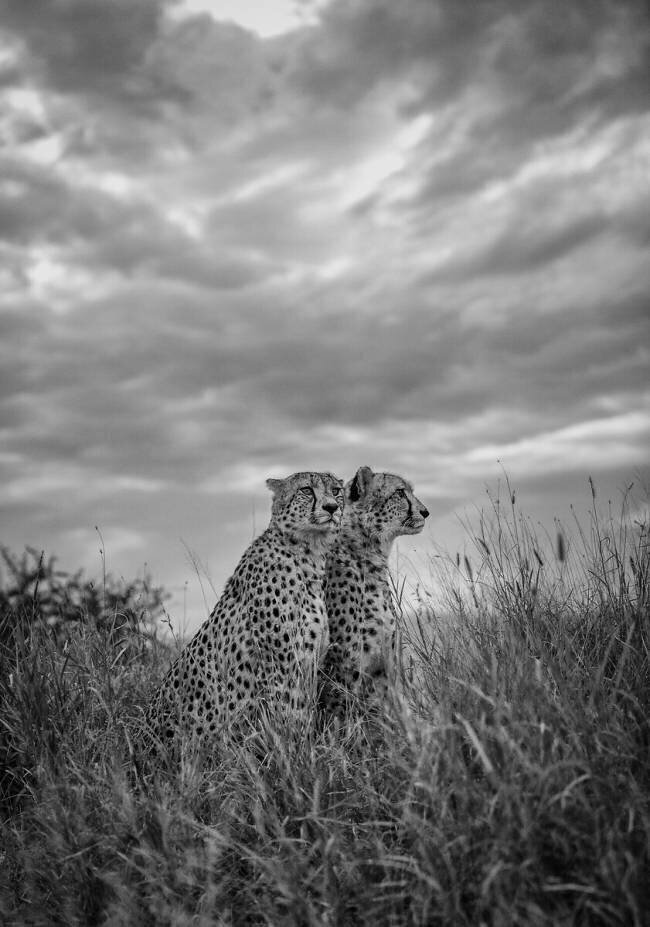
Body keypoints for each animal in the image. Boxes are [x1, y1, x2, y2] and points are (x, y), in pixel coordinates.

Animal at [142, 471, 344, 754]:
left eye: (336, 491)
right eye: (306, 490)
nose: (332, 507)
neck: (308, 553)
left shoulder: (308, 663)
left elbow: (304, 712)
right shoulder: (280, 667)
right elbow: (288, 717)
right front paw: (295, 754)